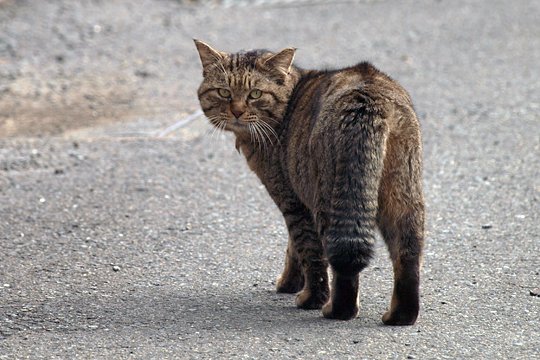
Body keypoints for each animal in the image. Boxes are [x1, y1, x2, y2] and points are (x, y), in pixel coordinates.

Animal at [194, 38, 426, 324]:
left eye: (255, 94)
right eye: (224, 93)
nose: (236, 111)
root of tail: (368, 92)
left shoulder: (292, 199)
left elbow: (306, 250)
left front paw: (309, 296)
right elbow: (294, 249)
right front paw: (290, 283)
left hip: (330, 196)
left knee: (342, 265)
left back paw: (336, 309)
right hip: (403, 194)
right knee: (408, 253)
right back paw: (401, 315)